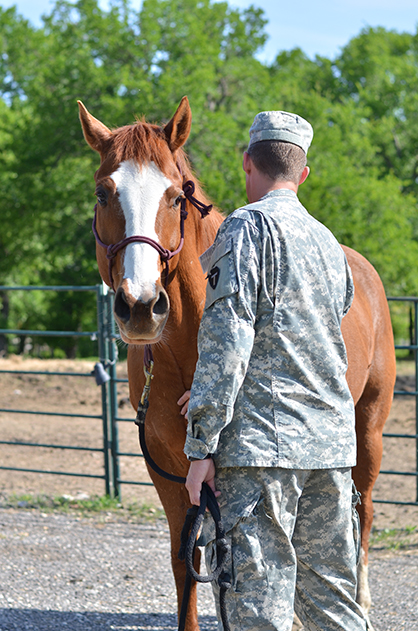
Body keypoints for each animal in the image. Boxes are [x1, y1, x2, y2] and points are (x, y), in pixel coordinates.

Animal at [77, 96, 396, 628]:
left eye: (176, 197)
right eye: (104, 194)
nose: (140, 305)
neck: (187, 348)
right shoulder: (171, 473)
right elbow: (185, 562)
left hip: (367, 429)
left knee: (361, 514)